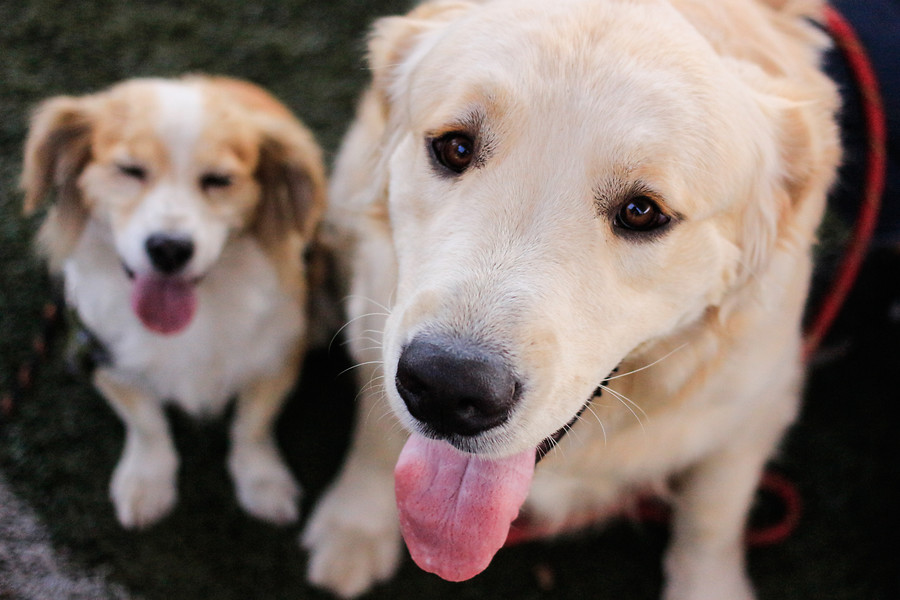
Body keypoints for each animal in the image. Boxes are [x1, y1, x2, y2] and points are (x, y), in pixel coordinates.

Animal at [22, 76, 326, 528]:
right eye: (129, 170)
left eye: (219, 179)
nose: (169, 248)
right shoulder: (101, 353)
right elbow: (146, 424)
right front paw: (147, 482)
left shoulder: (278, 353)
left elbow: (252, 426)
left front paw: (262, 481)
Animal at [304, 1, 844, 600]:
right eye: (455, 147)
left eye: (642, 212)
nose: (447, 386)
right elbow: (377, 435)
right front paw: (356, 524)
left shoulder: (756, 407)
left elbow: (712, 515)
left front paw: (707, 586)